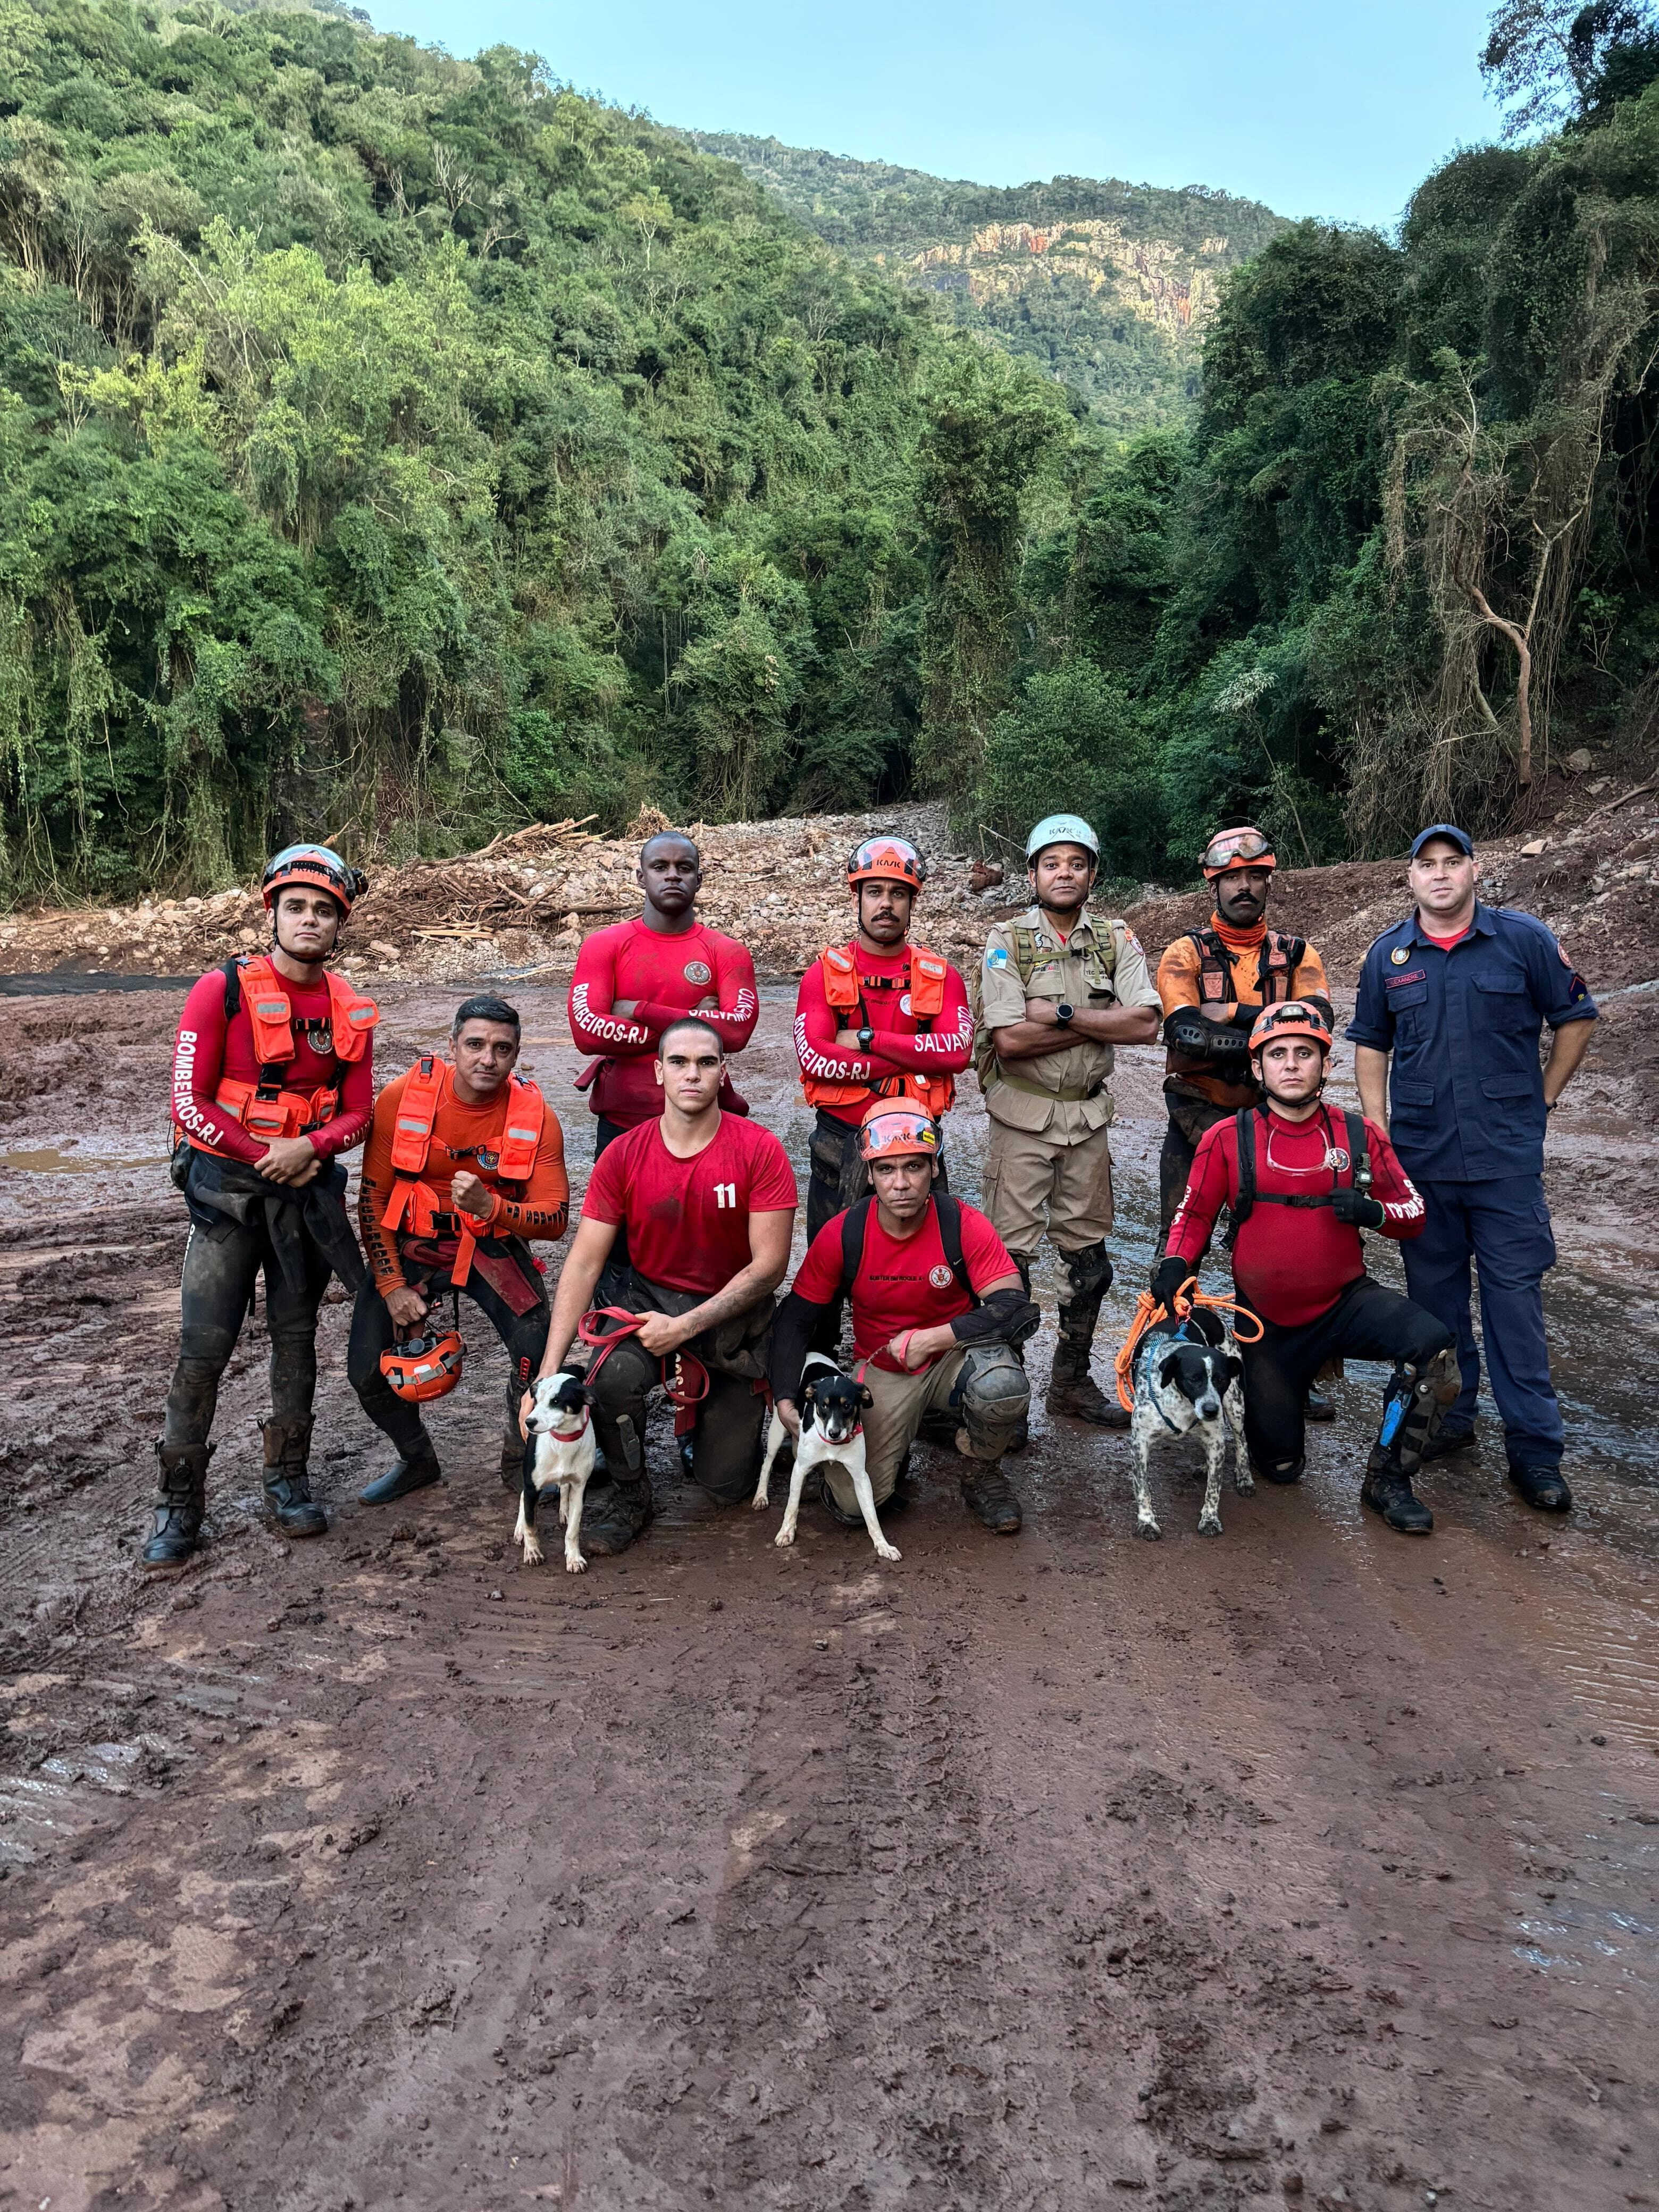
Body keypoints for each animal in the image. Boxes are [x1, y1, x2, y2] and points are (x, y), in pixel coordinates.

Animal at [520, 1371, 598, 1572]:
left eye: (556, 1401)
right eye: (536, 1400)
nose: (529, 1422)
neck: (563, 1441)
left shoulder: (580, 1487)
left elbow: (573, 1530)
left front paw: (574, 1558)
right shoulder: (532, 1487)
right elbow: (531, 1526)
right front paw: (532, 1552)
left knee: (564, 1488)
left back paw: (565, 1510)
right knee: (522, 1497)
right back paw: (519, 1529)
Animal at [753, 1352, 900, 1562]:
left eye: (847, 1406)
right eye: (823, 1406)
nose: (834, 1433)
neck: (833, 1446)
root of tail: (810, 1352)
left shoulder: (861, 1477)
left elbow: (871, 1515)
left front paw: (883, 1545)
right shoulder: (800, 1467)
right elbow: (791, 1506)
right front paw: (786, 1532)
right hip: (777, 1430)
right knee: (767, 1464)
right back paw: (761, 1496)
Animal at [1128, 1307, 1248, 1541]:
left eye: (1221, 1380)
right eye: (1194, 1379)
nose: (1211, 1410)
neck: (1183, 1401)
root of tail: (1201, 1309)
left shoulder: (1216, 1438)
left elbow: (1214, 1487)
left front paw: (1210, 1519)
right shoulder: (1140, 1443)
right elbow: (1143, 1488)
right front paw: (1147, 1522)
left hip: (1235, 1404)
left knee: (1242, 1441)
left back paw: (1245, 1478)